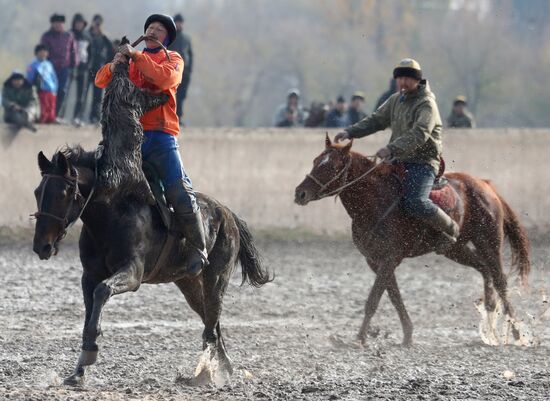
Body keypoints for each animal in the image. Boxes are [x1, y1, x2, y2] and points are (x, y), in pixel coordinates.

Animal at [296, 135, 532, 346]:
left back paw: (515, 332)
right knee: (483, 269)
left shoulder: (390, 257)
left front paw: (359, 339)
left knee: (500, 280)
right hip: (454, 249)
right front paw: (407, 335)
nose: (300, 193)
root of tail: (485, 185)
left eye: (331, 167)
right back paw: (490, 316)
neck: (374, 200)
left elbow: (373, 300)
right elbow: (394, 297)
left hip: (489, 242)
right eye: (316, 161)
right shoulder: (375, 260)